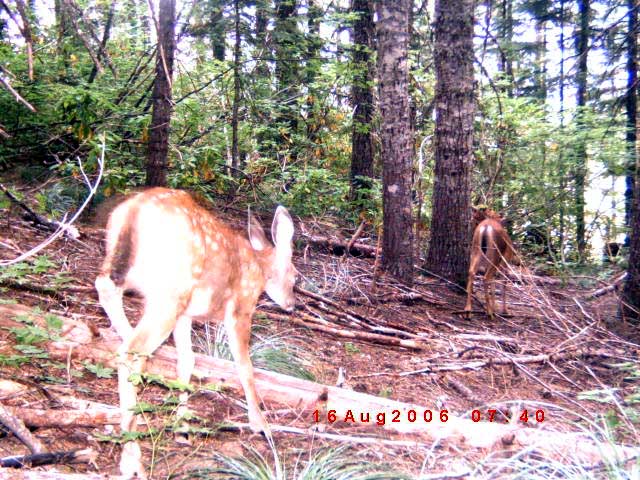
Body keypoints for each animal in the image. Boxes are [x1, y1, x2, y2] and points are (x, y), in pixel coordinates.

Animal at [95, 188, 298, 480]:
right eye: (296, 276)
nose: (292, 304)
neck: (259, 269)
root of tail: (134, 209)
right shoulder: (240, 307)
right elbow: (245, 366)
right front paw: (261, 425)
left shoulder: (186, 315)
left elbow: (187, 361)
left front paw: (182, 428)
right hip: (170, 292)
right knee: (131, 352)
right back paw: (132, 459)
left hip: (126, 271)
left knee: (106, 293)